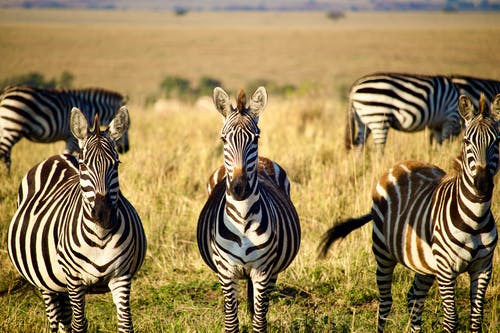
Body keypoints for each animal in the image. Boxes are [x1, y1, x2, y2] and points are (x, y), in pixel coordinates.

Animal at [0, 84, 131, 172]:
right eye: (127, 126)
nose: (126, 149)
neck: (90, 107)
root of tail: (4, 93)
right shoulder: (73, 138)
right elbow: (70, 155)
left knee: (7, 157)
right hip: (12, 127)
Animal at [7, 106, 146, 332]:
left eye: (116, 164)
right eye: (83, 165)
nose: (104, 215)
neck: (100, 237)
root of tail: (58, 156)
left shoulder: (122, 276)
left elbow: (125, 325)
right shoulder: (74, 281)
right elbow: (79, 325)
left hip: (59, 281)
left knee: (64, 318)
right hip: (45, 282)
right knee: (55, 319)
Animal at [197, 87, 300, 330]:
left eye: (256, 138)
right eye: (223, 139)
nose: (239, 187)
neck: (243, 220)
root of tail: (263, 160)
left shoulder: (263, 271)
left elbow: (260, 322)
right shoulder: (226, 272)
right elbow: (231, 323)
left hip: (272, 271)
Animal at [322, 92, 498, 330]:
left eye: (497, 141)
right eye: (467, 141)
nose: (482, 184)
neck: (475, 219)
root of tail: (398, 165)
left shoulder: (483, 268)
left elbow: (476, 318)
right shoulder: (446, 269)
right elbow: (451, 319)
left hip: (424, 263)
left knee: (414, 298)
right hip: (383, 252)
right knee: (386, 302)